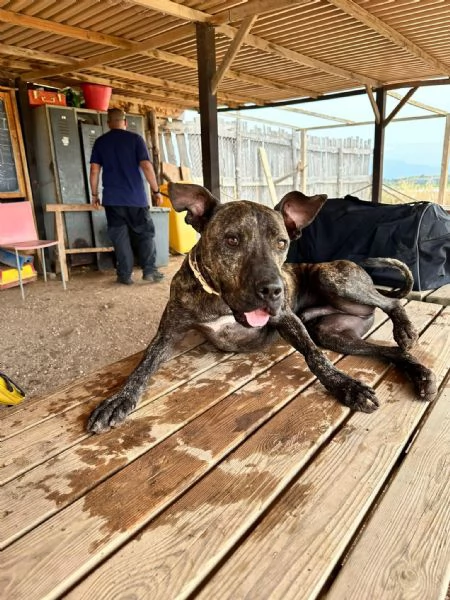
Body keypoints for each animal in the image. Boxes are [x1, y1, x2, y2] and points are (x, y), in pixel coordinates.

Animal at [87, 183, 436, 432]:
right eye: (231, 240)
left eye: (282, 243)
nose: (273, 290)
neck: (219, 298)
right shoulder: (167, 334)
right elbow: (143, 366)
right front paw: (119, 399)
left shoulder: (288, 320)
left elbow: (315, 357)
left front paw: (345, 385)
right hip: (335, 333)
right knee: (389, 350)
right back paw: (419, 374)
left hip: (334, 278)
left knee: (390, 300)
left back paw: (405, 329)